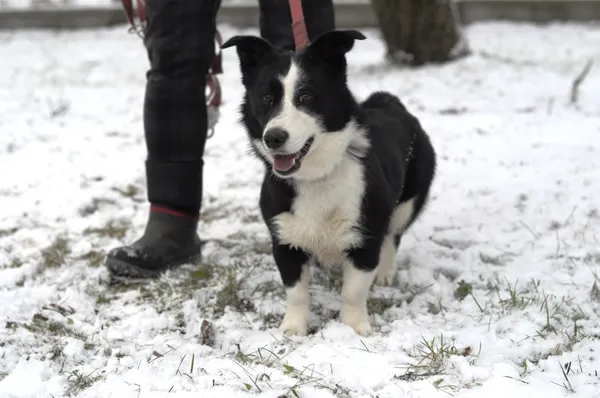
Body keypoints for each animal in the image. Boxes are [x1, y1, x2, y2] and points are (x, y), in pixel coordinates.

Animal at [223, 28, 438, 336]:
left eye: (306, 96)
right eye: (266, 98)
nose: (273, 137)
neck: (316, 178)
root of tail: (389, 100)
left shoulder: (365, 239)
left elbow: (353, 292)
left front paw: (353, 329)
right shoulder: (284, 239)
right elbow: (296, 292)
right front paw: (293, 329)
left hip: (408, 199)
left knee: (393, 235)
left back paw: (385, 272)